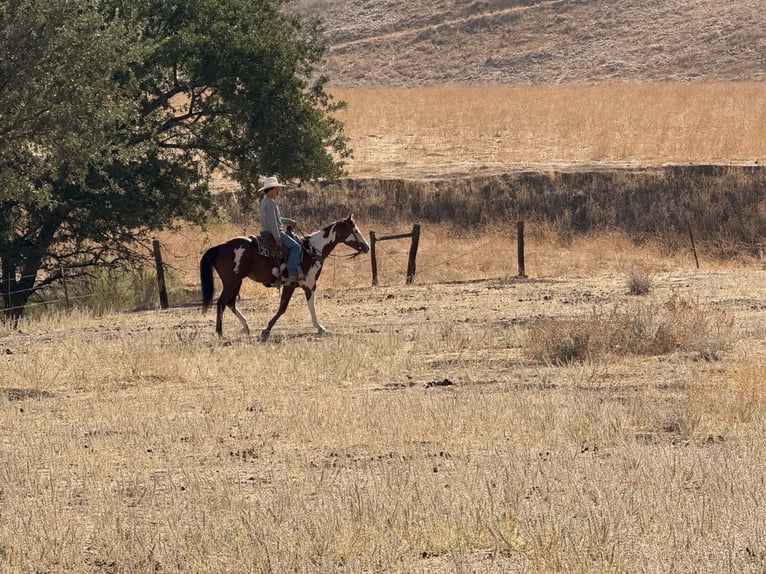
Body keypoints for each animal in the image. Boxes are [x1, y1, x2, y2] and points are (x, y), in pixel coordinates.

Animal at [200, 215, 370, 341]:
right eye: (355, 230)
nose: (367, 247)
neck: (312, 250)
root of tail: (220, 247)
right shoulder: (306, 285)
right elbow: (296, 307)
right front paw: (320, 327)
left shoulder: (295, 285)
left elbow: (285, 307)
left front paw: (266, 329)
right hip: (231, 281)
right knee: (222, 303)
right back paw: (220, 333)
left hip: (237, 281)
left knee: (230, 302)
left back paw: (245, 327)